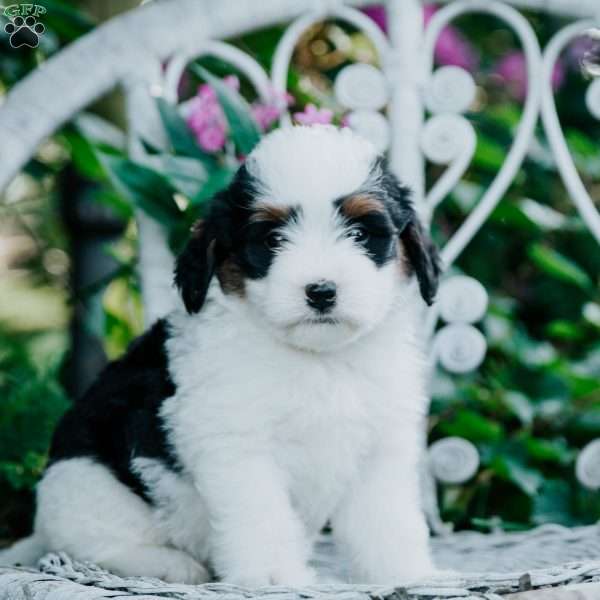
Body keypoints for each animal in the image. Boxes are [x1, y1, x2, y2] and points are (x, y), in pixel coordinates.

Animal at [0, 126, 440, 584]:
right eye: (273, 239)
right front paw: (272, 576)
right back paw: (171, 564)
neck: (317, 358)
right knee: (93, 543)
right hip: (87, 486)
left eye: (359, 234)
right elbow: (262, 514)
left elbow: (386, 516)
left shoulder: (381, 445)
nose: (321, 291)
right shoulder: (238, 446)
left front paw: (406, 572)